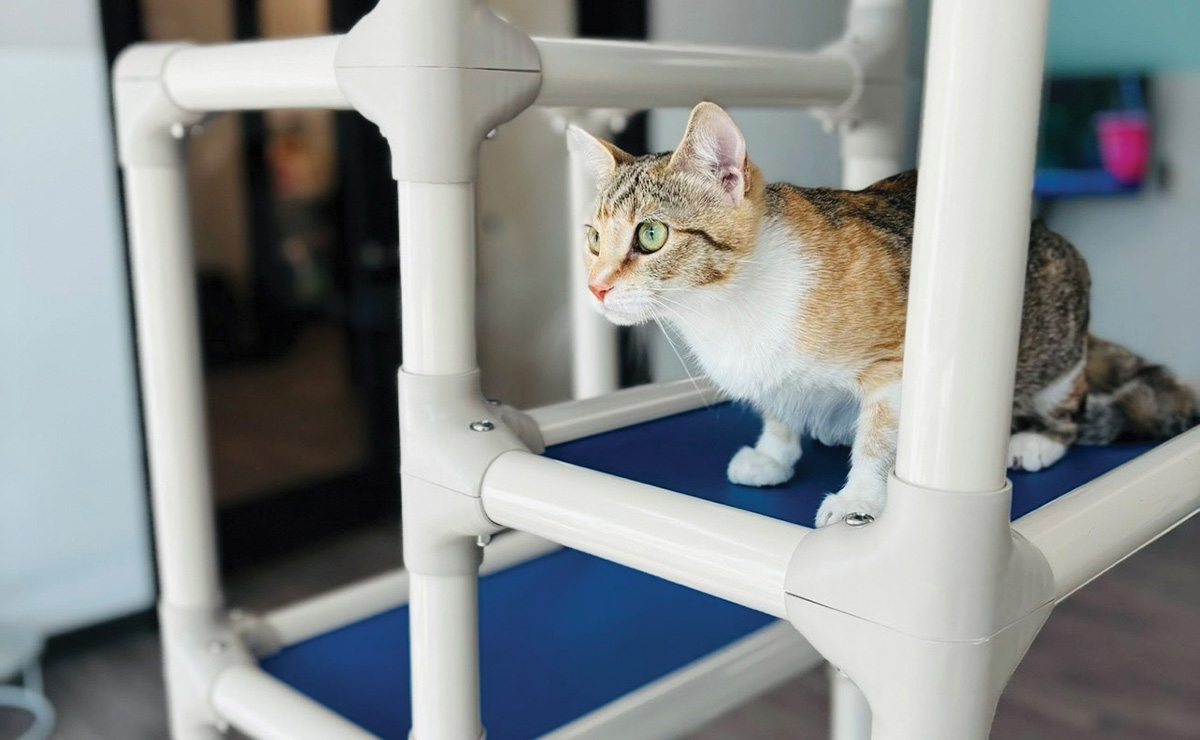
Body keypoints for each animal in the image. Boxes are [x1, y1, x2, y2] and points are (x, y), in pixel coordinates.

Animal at [564, 100, 1200, 527]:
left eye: (651, 235)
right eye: (593, 238)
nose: (594, 288)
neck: (728, 305)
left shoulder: (893, 365)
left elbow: (879, 436)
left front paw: (861, 499)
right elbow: (778, 406)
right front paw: (774, 450)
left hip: (1056, 343)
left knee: (1069, 406)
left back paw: (1038, 440)